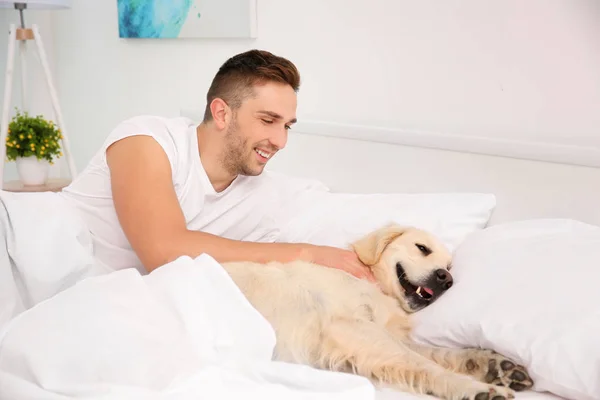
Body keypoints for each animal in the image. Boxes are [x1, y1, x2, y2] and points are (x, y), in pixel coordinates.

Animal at [221, 223, 536, 398]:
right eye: (422, 248)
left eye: (449, 266)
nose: (446, 279)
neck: (380, 291)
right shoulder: (347, 327)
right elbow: (419, 361)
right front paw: (473, 388)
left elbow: (434, 353)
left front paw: (490, 364)